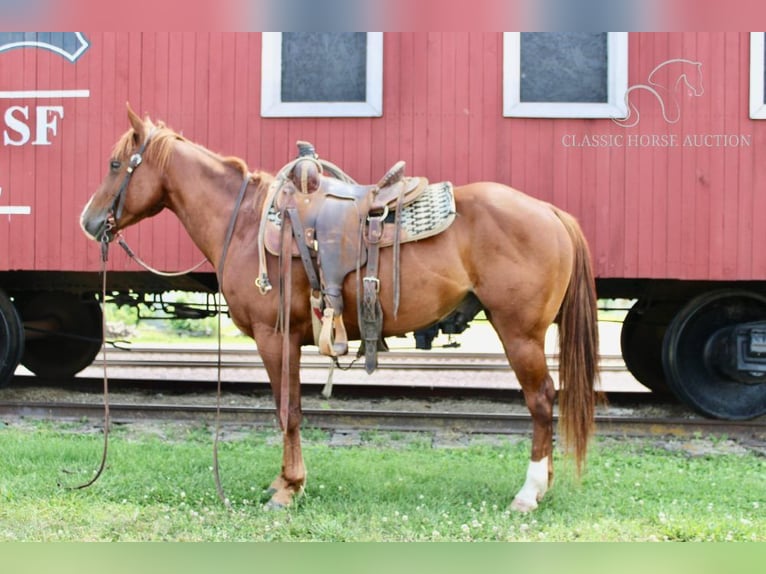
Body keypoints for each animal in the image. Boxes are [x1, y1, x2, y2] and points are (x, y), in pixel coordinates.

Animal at [81, 106, 604, 516]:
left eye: (114, 164)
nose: (88, 221)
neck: (244, 220)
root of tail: (550, 212)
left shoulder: (276, 338)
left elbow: (288, 409)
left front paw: (288, 488)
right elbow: (289, 409)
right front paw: (285, 482)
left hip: (519, 333)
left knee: (541, 400)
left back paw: (528, 493)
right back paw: (543, 486)